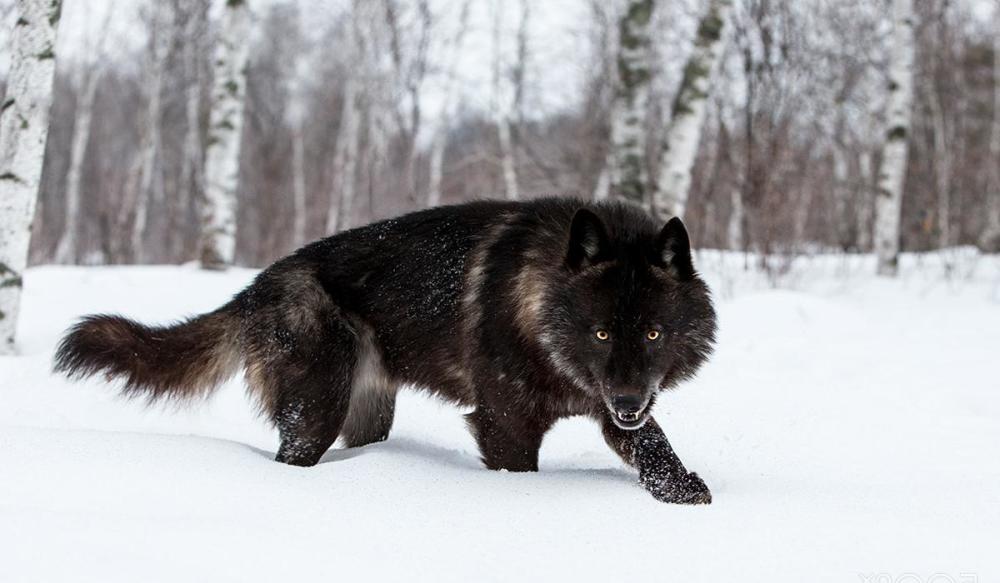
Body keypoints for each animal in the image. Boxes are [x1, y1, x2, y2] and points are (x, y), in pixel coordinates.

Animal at [54, 198, 716, 504]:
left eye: (653, 334)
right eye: (600, 333)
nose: (627, 400)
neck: (537, 303)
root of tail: (257, 285)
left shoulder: (616, 407)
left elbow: (654, 446)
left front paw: (684, 493)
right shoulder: (505, 424)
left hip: (368, 415)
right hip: (316, 412)